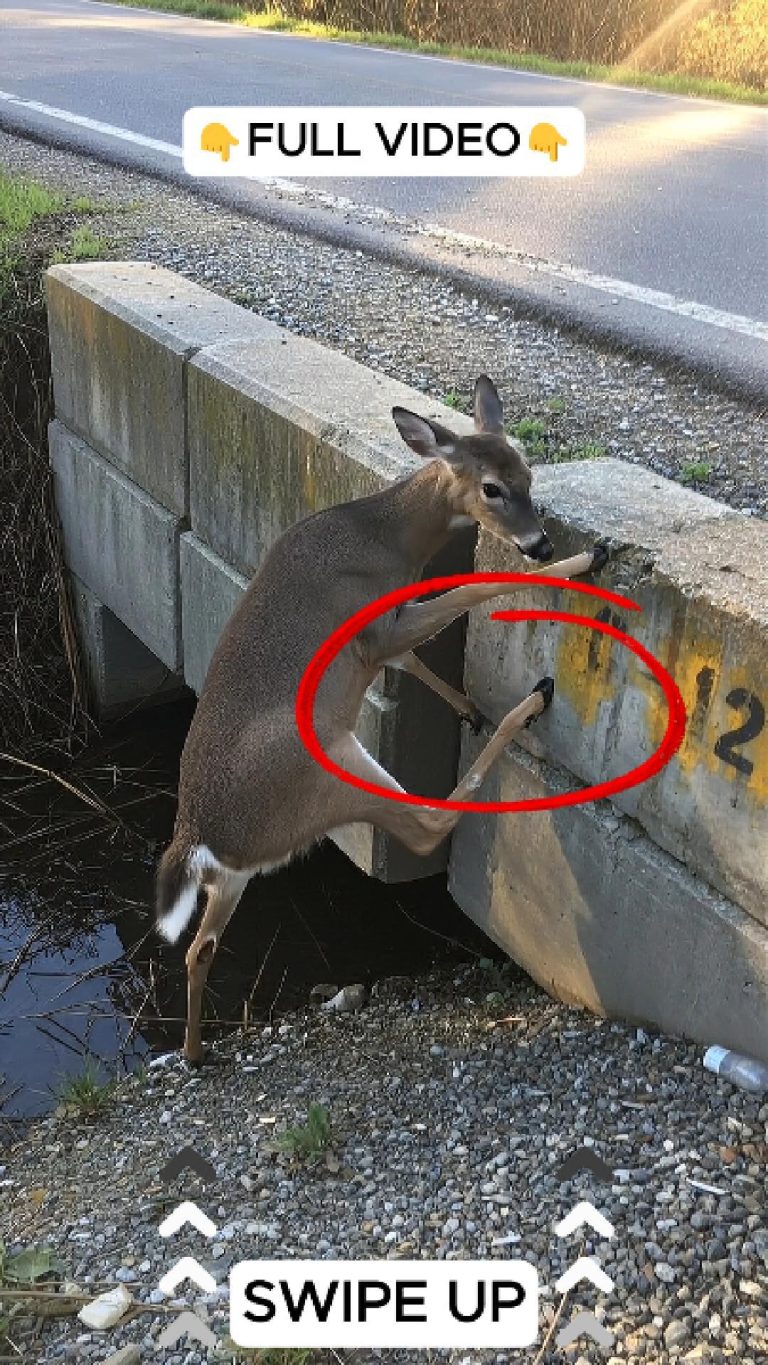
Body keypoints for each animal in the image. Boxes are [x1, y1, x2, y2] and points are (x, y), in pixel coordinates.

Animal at [156, 375, 608, 1064]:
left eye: (530, 472)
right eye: (491, 487)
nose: (541, 543)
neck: (384, 534)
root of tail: (197, 834)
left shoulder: (384, 637)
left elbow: (417, 654)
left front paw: (469, 707)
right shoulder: (375, 627)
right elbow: (471, 591)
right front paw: (587, 562)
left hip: (238, 872)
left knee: (199, 947)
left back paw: (194, 1052)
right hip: (330, 762)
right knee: (426, 824)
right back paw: (531, 702)